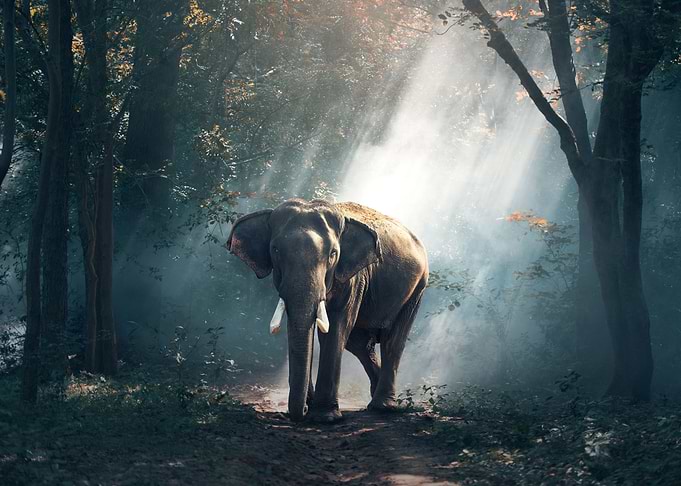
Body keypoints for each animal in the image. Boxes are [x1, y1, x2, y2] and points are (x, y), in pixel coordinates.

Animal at [226, 199, 428, 423]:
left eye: (333, 254)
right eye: (275, 250)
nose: (302, 411)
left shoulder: (353, 277)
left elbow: (336, 328)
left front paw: (324, 417)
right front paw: (311, 406)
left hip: (418, 287)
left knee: (392, 340)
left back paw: (382, 407)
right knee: (359, 344)